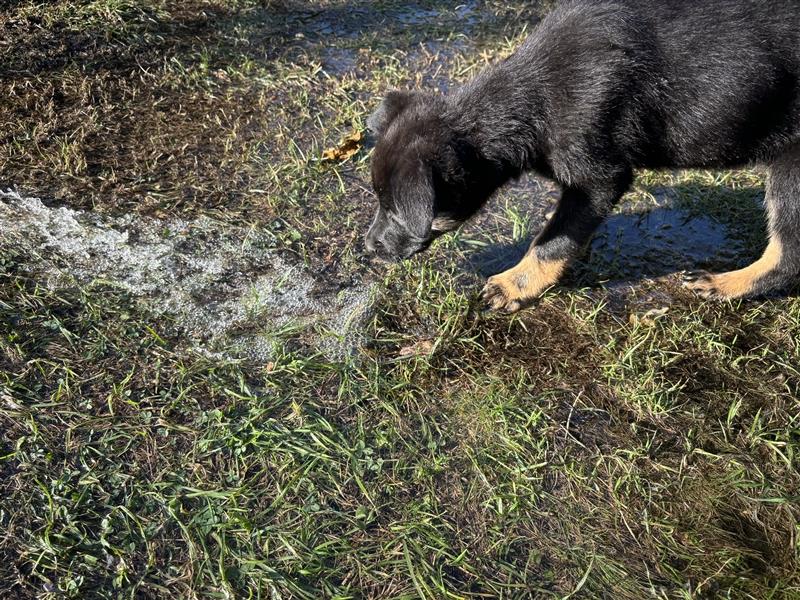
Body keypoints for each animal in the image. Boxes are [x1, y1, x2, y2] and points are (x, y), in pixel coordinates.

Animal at [364, 0, 800, 310]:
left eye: (395, 208)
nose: (369, 248)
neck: (529, 99)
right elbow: (567, 230)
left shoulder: (600, 177)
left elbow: (552, 239)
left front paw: (514, 285)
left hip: (790, 169)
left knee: (787, 254)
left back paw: (725, 284)